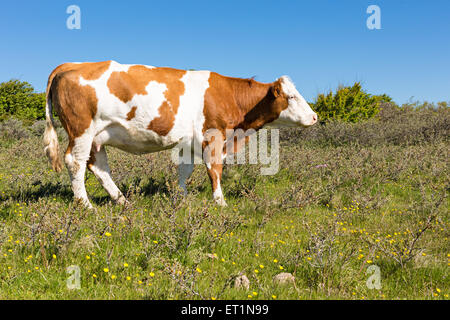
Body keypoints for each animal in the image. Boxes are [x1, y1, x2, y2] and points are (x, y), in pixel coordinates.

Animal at [42, 61, 316, 209]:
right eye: (292, 97)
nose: (314, 117)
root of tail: (71, 64)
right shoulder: (213, 137)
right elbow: (215, 170)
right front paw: (220, 202)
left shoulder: (189, 143)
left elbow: (185, 171)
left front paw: (181, 199)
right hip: (81, 130)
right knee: (75, 162)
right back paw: (86, 204)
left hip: (97, 137)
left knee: (99, 167)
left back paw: (122, 201)